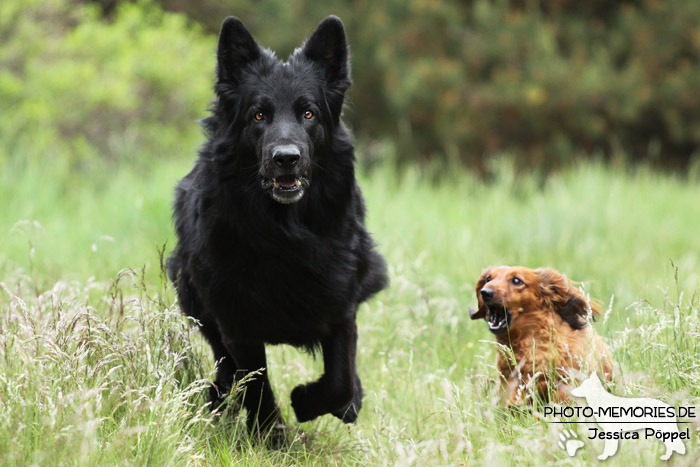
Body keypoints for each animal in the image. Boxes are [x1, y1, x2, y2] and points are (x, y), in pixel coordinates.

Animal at [167, 15, 392, 438]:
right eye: (258, 115)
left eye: (309, 114)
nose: (285, 158)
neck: (285, 233)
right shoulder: (236, 321)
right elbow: (257, 384)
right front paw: (270, 435)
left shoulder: (340, 304)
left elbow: (340, 380)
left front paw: (309, 401)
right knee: (226, 370)